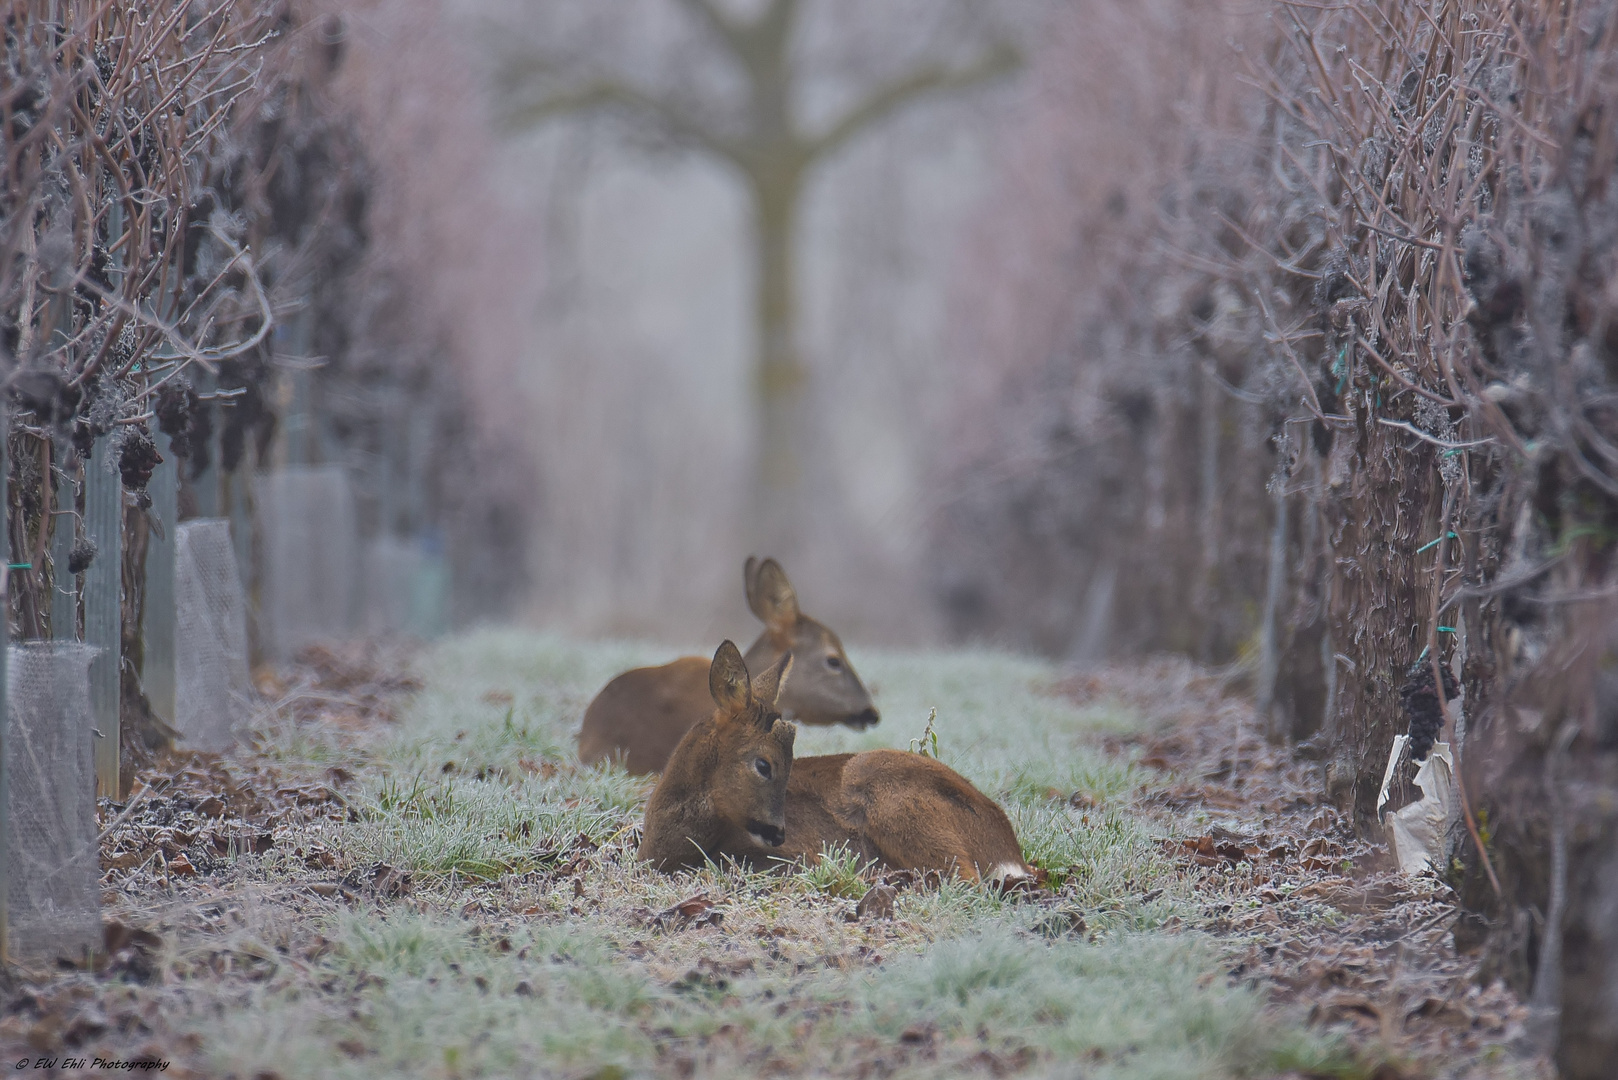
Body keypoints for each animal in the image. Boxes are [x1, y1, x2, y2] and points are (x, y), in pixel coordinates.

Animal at [637, 641, 1029, 887]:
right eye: (764, 764)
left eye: (788, 763)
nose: (778, 833)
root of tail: (1008, 850)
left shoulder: (791, 857)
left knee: (964, 877)